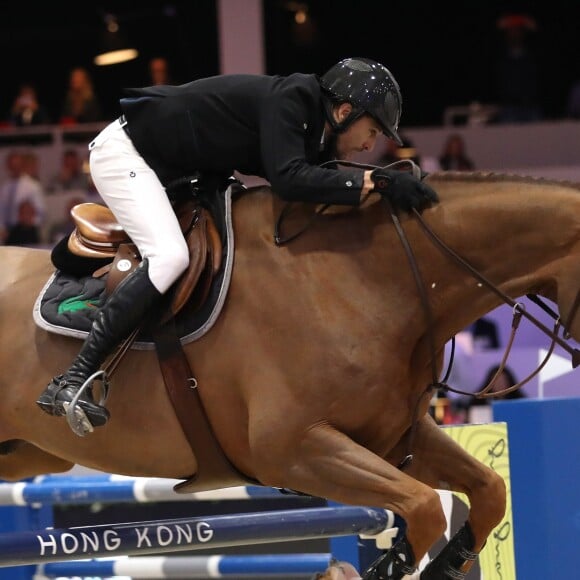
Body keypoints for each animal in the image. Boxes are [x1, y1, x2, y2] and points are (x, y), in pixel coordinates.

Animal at [1, 171, 580, 576]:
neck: (368, 280)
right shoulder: (293, 450)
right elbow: (422, 508)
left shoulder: (396, 441)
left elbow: (488, 492)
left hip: (28, 454)